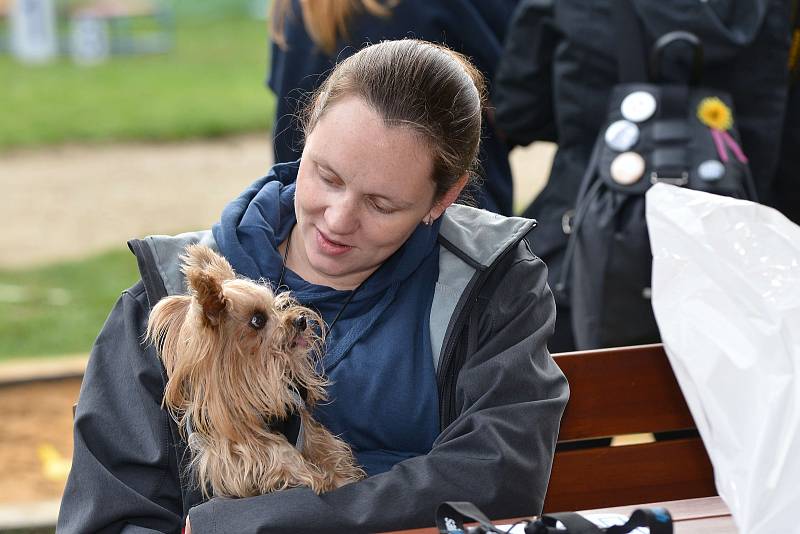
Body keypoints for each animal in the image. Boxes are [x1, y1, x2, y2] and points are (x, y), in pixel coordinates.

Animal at [147, 245, 366, 500]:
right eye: (257, 320)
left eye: (276, 306)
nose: (301, 320)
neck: (254, 378)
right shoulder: (235, 451)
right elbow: (275, 454)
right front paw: (312, 478)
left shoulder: (307, 431)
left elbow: (326, 452)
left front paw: (338, 477)